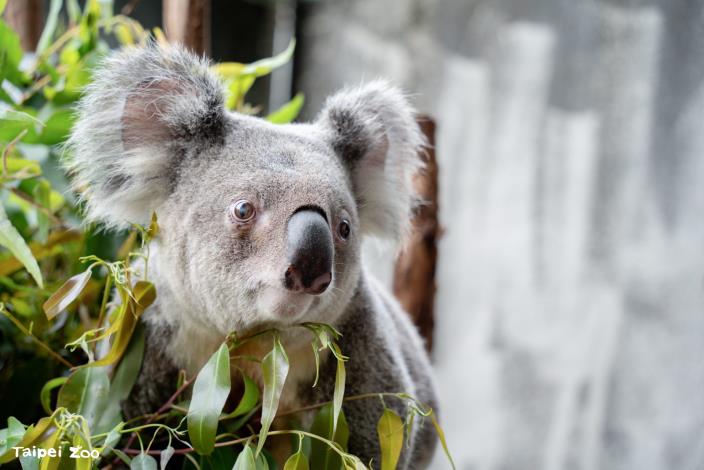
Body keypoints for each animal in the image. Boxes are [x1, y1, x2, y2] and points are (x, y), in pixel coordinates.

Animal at [67, 43, 438, 468]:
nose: (309, 270)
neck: (254, 342)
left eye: (344, 228)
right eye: (244, 209)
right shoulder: (147, 340)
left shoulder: (358, 366)